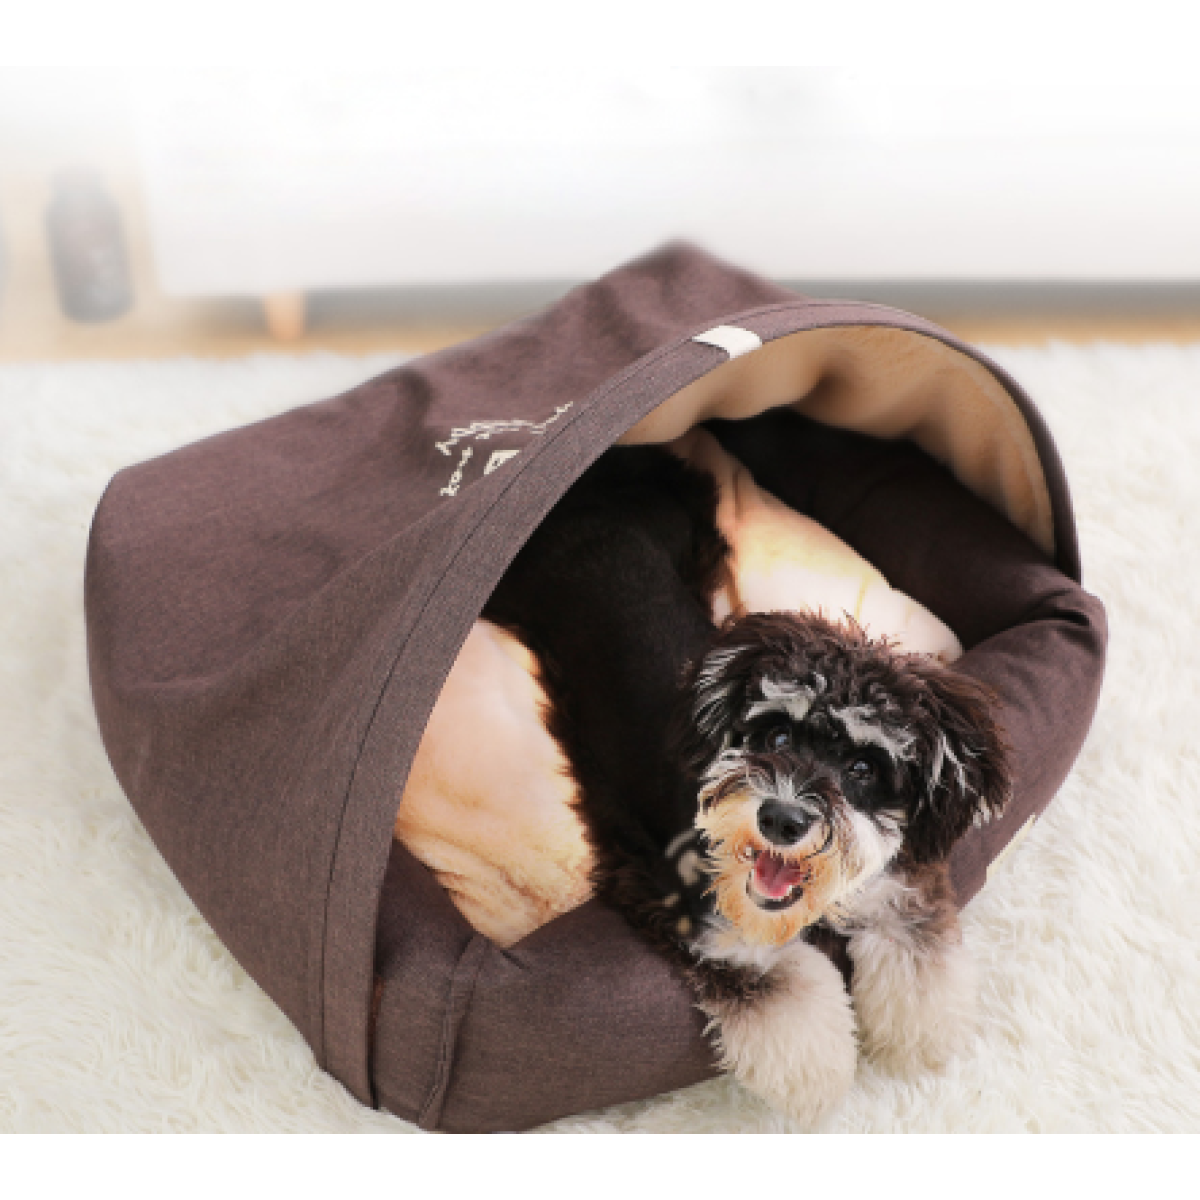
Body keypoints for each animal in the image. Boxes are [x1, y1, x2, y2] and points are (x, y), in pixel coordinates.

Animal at [482, 441, 1011, 1125]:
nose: (782, 821)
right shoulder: (671, 889)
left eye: (863, 769)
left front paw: (919, 1036)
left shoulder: (895, 872)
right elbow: (773, 977)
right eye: (776, 737)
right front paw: (818, 1073)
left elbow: (912, 928)